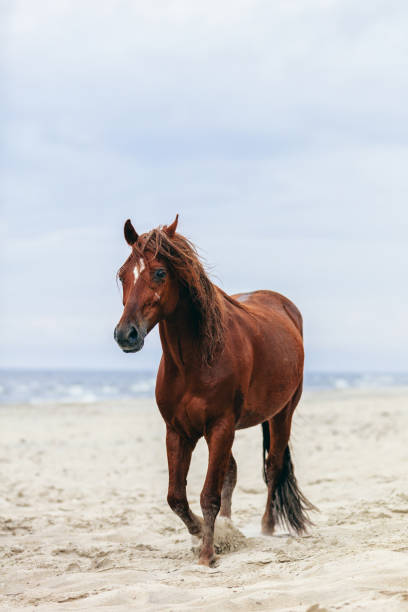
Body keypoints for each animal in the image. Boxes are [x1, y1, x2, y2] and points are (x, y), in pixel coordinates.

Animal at [115, 218, 316, 568]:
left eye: (160, 273)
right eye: (122, 274)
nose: (126, 334)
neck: (195, 362)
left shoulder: (220, 427)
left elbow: (208, 494)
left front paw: (208, 553)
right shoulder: (178, 432)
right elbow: (176, 497)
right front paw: (204, 533)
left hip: (282, 414)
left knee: (273, 468)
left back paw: (266, 528)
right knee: (232, 473)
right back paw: (230, 526)